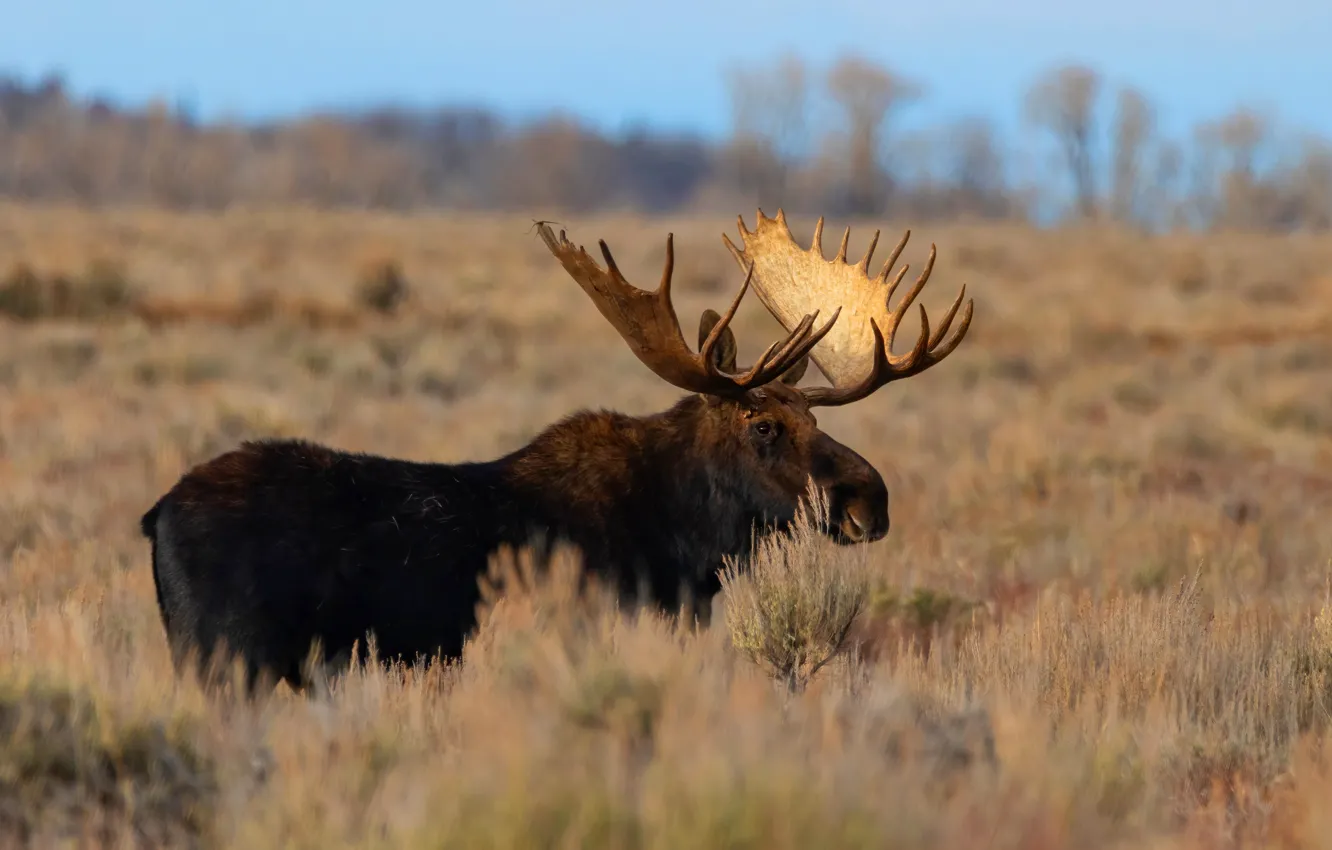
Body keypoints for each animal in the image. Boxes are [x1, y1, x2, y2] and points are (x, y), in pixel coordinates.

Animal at [139, 209, 974, 696]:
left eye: (812, 416)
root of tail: (155, 516)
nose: (870, 500)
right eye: (763, 426)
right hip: (225, 659)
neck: (688, 541)